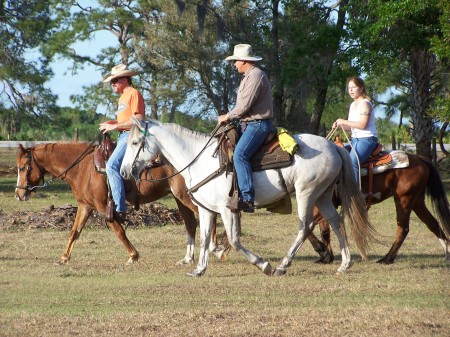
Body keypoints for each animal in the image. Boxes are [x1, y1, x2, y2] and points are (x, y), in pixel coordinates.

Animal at [14, 140, 225, 264]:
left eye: (23, 167)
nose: (18, 194)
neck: (83, 167)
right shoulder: (85, 206)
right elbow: (75, 232)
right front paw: (64, 258)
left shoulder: (102, 207)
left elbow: (118, 229)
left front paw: (133, 255)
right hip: (179, 197)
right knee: (190, 223)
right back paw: (188, 258)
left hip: (186, 196)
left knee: (208, 214)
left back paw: (215, 249)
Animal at [121, 118, 374, 276]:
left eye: (134, 142)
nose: (124, 172)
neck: (198, 160)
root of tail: (333, 146)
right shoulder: (206, 209)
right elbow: (204, 238)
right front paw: (199, 269)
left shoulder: (226, 209)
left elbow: (233, 240)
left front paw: (264, 265)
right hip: (322, 194)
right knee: (336, 221)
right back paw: (344, 264)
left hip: (306, 192)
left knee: (305, 226)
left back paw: (282, 265)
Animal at [310, 152, 450, 262]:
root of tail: (419, 159)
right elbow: (324, 231)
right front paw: (326, 256)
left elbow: (310, 227)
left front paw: (323, 251)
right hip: (417, 201)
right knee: (432, 223)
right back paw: (447, 253)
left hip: (404, 199)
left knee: (403, 229)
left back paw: (387, 259)